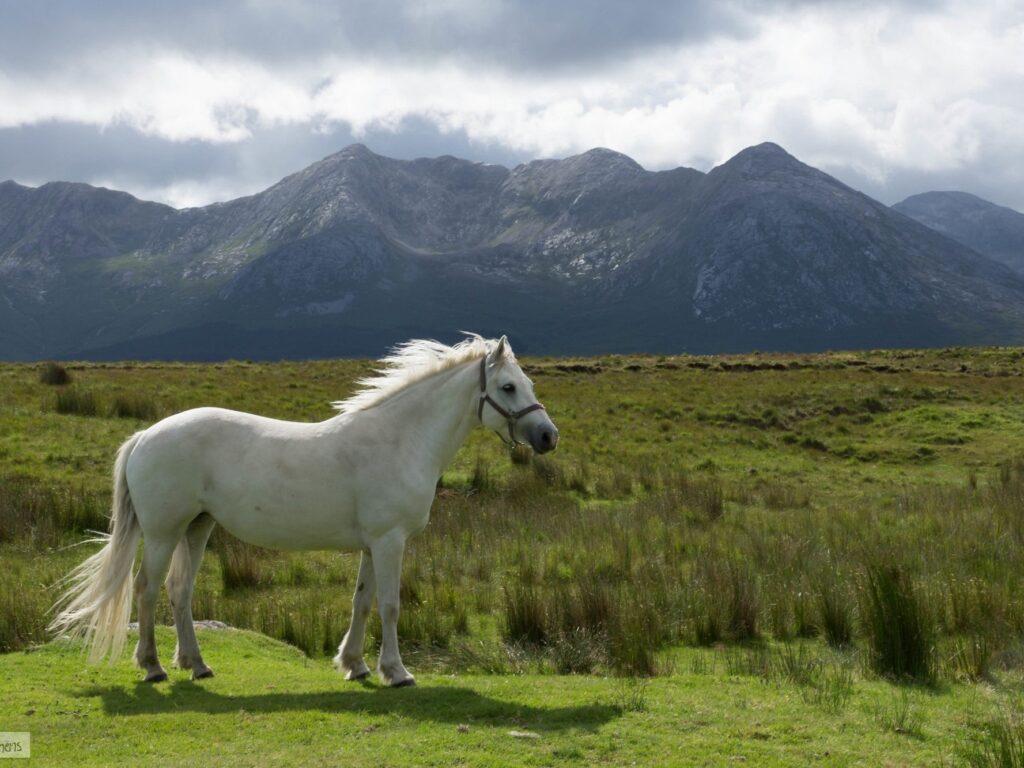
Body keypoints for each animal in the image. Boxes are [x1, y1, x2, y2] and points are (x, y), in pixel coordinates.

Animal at [49, 334, 558, 687]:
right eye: (508, 387)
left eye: (529, 383)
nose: (548, 436)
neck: (399, 440)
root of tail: (145, 436)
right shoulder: (390, 542)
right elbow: (390, 606)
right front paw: (396, 672)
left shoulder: (372, 545)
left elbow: (362, 602)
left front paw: (354, 665)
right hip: (161, 533)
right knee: (148, 590)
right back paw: (153, 666)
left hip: (197, 528)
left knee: (180, 591)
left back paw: (197, 665)